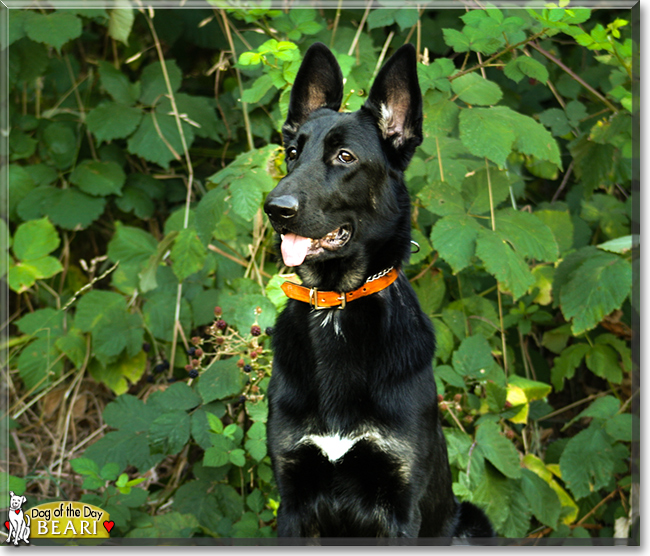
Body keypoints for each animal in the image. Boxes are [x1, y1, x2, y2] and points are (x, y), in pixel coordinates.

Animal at [260, 42, 488, 540]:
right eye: (292, 152)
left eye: (345, 157)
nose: (275, 208)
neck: (337, 304)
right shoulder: (292, 501)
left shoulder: (401, 508)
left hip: (472, 523)